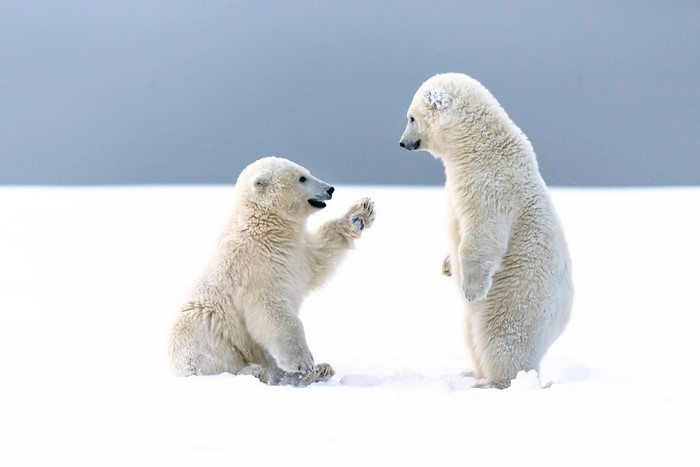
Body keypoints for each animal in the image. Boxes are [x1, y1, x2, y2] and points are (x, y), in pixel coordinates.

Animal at [169, 156, 375, 386]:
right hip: (206, 340)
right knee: (215, 363)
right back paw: (256, 371)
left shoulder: (296, 252)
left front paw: (360, 213)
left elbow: (320, 258)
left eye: (307, 172)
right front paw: (302, 362)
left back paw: (320, 370)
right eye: (302, 178)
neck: (265, 226)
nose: (330, 189)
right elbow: (271, 311)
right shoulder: (256, 266)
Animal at [399, 73, 573, 388]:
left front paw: (471, 288)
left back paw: (493, 382)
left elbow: (482, 233)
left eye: (412, 117)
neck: (479, 144)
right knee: (471, 336)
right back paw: (471, 373)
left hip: (519, 299)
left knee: (501, 338)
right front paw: (447, 265)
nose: (402, 142)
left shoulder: (490, 182)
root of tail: (559, 323)